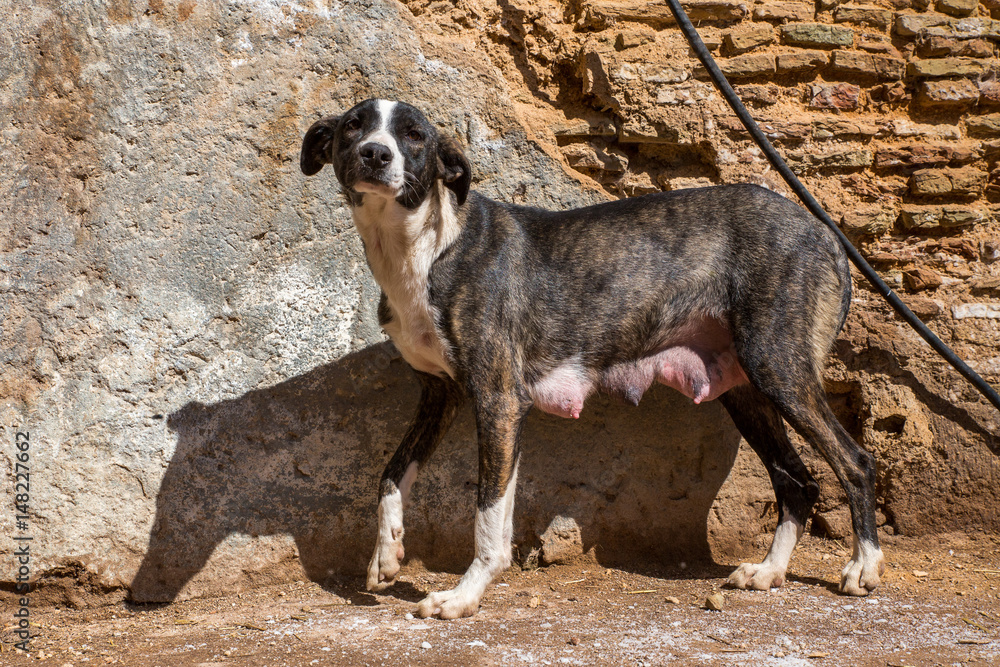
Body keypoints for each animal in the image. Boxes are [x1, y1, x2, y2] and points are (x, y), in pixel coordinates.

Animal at [300, 99, 888, 620]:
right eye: (354, 126)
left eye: (415, 135)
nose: (376, 154)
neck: (424, 247)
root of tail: (823, 232)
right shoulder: (439, 395)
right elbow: (391, 475)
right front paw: (387, 554)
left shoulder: (498, 400)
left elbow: (488, 517)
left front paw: (464, 597)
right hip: (747, 391)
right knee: (797, 480)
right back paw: (769, 571)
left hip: (778, 369)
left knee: (854, 461)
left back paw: (863, 565)